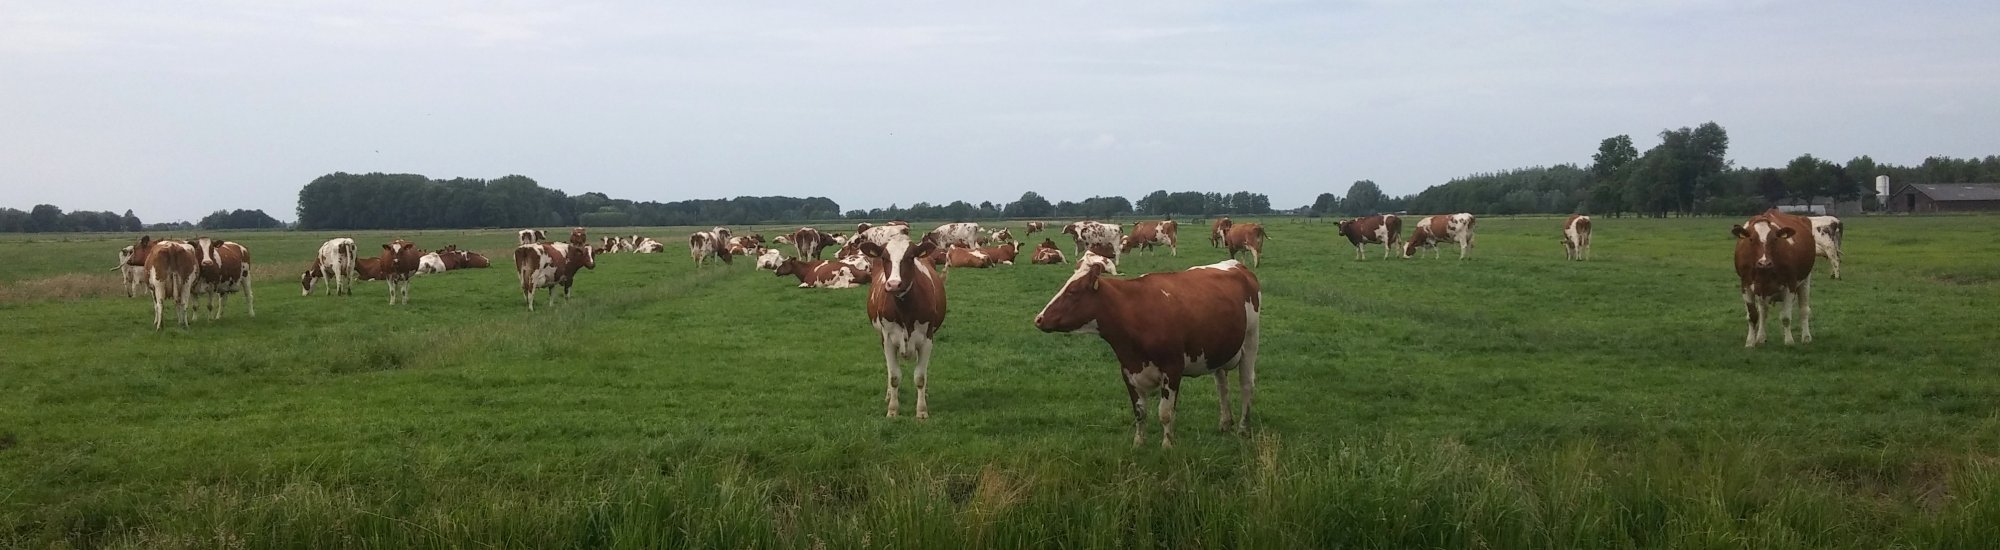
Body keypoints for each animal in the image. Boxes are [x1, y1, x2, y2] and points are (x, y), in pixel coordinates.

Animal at [857, 234, 947, 419]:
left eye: (910, 257)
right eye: (885, 258)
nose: (893, 284)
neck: (905, 309)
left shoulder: (927, 339)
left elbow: (920, 377)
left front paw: (921, 410)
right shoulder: (888, 340)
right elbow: (894, 377)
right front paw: (892, 409)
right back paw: (888, 395)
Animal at [1033, 256, 1261, 447]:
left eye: (1072, 292)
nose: (1039, 319)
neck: (1133, 310)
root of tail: (1237, 265)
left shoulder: (1172, 369)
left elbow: (1165, 413)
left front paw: (1167, 445)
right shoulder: (1128, 370)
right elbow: (1139, 412)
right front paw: (1138, 443)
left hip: (1251, 340)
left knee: (1247, 385)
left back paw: (1243, 428)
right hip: (1219, 350)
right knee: (1222, 386)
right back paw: (1225, 423)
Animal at [1732, 210, 1817, 347]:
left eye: (1775, 239)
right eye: (1751, 239)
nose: (1764, 263)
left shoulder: (1790, 285)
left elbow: (1786, 317)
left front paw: (1789, 341)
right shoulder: (1745, 284)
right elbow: (1752, 315)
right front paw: (1750, 342)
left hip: (1805, 280)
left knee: (1804, 309)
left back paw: (1806, 337)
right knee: (1763, 311)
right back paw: (1760, 337)